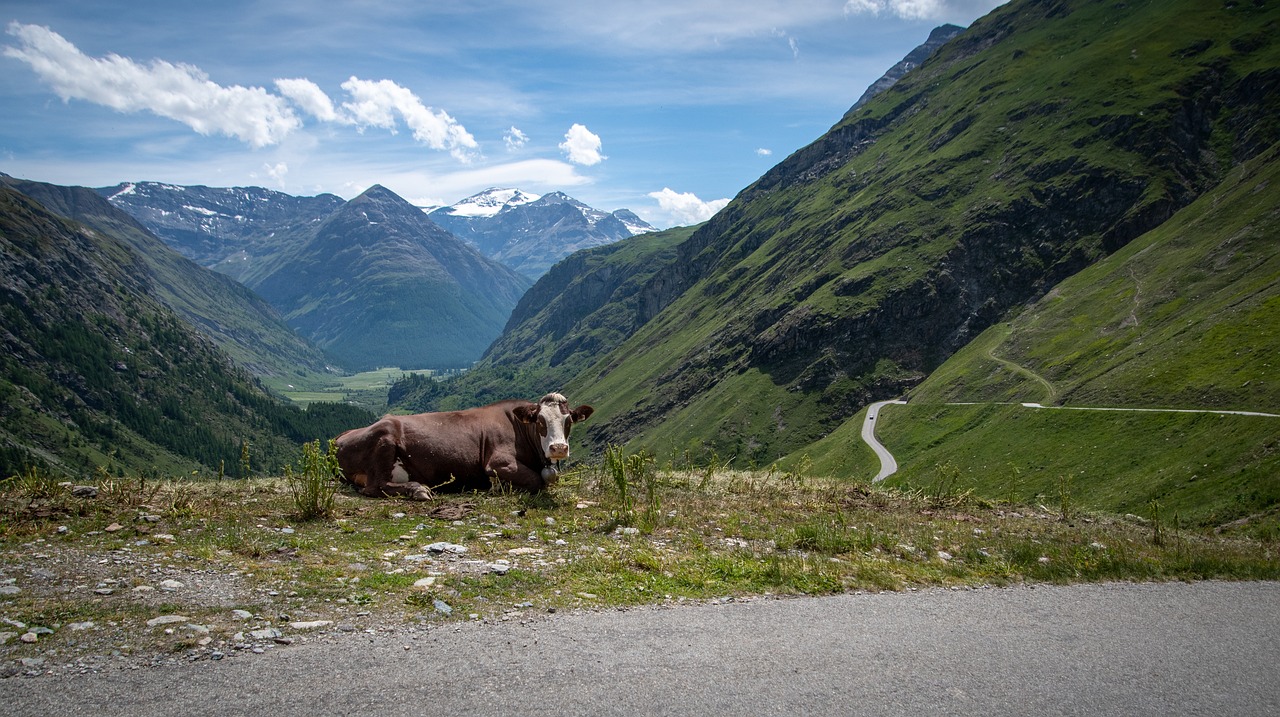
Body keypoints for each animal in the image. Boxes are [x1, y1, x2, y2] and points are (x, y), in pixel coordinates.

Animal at [330, 391, 588, 499]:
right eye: (540, 422)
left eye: (568, 421)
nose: (558, 448)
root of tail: (340, 437)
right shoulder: (498, 461)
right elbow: (537, 480)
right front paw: (498, 487)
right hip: (385, 438)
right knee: (375, 487)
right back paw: (418, 490)